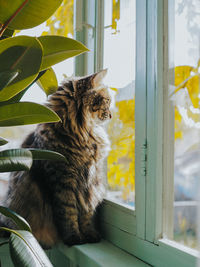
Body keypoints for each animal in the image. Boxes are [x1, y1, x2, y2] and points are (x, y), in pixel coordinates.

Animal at [0, 69, 111, 249]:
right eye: (107, 100)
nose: (112, 115)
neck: (80, 134)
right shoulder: (62, 181)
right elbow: (68, 213)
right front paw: (74, 238)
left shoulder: (89, 183)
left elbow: (86, 213)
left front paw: (89, 234)